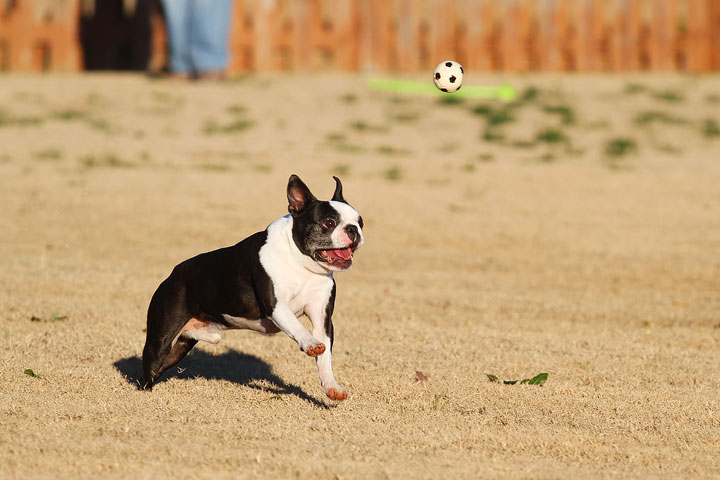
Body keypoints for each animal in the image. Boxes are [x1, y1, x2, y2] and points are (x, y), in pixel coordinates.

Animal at [140, 174, 362, 400]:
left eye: (360, 221)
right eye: (329, 222)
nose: (354, 229)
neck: (301, 263)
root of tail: (173, 274)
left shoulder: (322, 319)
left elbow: (325, 358)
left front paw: (332, 387)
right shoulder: (277, 307)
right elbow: (297, 327)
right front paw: (310, 343)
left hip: (183, 344)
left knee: (163, 365)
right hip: (161, 336)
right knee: (151, 365)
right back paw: (145, 392)